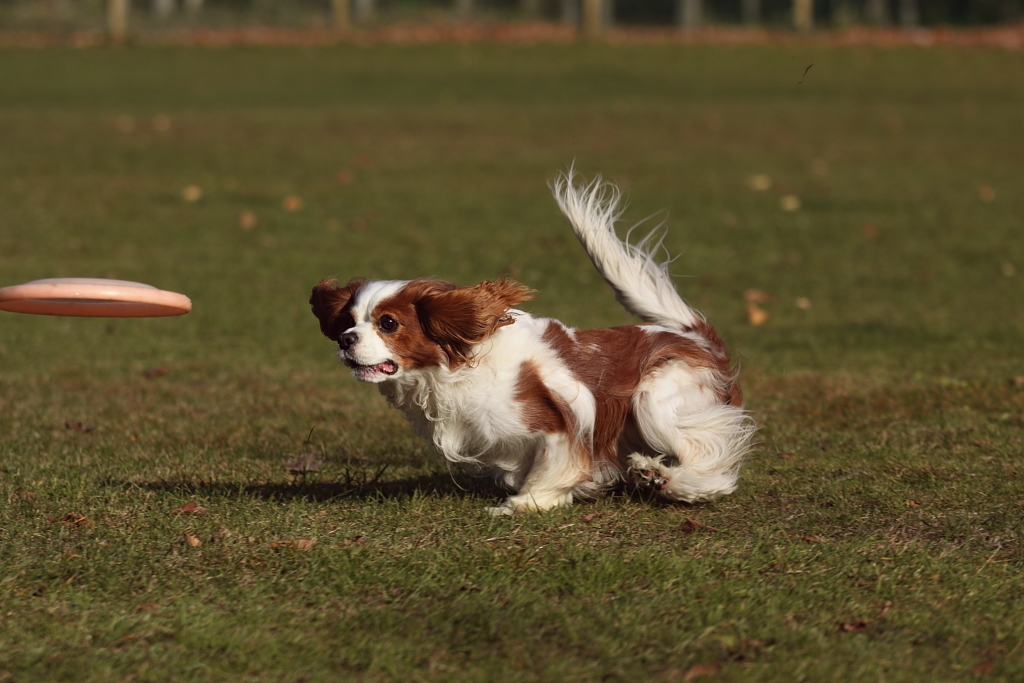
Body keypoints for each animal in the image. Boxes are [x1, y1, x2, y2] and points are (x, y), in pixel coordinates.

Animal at [307, 171, 757, 511]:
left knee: (711, 463)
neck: (453, 370)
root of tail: (695, 336)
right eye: (349, 320)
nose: (346, 340)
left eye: (387, 323)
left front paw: (527, 503)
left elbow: (556, 464)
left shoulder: (563, 414)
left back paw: (665, 478)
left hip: (656, 400)